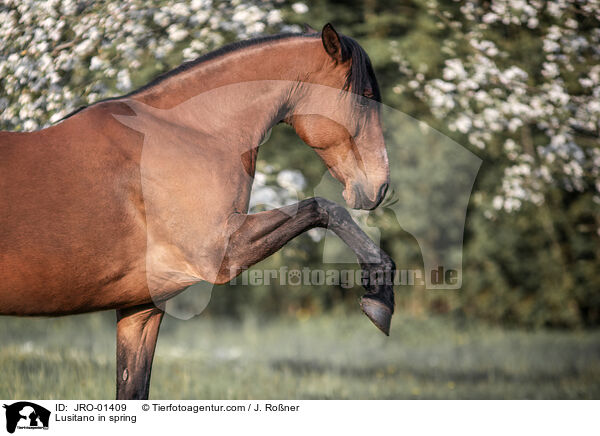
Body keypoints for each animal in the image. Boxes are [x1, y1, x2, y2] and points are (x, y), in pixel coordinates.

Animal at [0, 23, 394, 398]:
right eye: (365, 97)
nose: (379, 187)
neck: (189, 135)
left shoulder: (140, 308)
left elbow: (133, 390)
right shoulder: (221, 254)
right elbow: (325, 209)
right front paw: (380, 298)